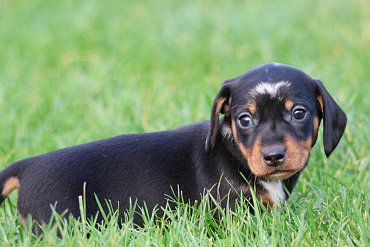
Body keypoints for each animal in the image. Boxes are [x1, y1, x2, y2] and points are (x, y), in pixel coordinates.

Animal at [0, 62, 346, 226]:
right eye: (245, 119)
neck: (234, 154)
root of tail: (28, 166)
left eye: (299, 113)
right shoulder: (233, 213)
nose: (274, 156)